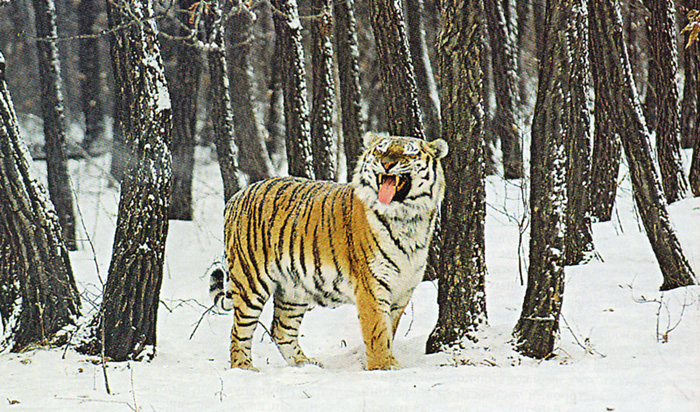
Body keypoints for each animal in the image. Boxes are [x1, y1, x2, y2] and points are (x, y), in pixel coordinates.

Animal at [209, 132, 448, 370]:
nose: (387, 164)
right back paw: (244, 368)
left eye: (410, 153)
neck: (408, 219)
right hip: (251, 281)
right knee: (239, 331)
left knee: (281, 329)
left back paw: (305, 364)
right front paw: (384, 367)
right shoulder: (371, 287)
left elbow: (390, 329)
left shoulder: (402, 290)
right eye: (380, 151)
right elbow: (378, 332)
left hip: (292, 289)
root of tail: (237, 196)